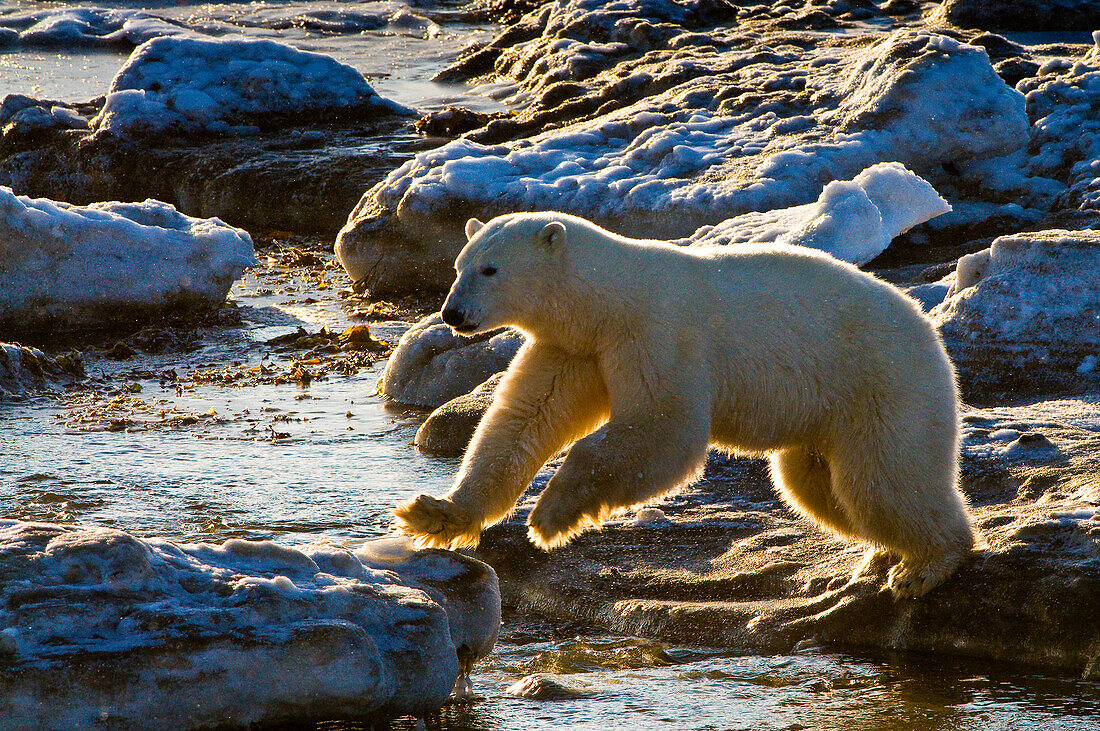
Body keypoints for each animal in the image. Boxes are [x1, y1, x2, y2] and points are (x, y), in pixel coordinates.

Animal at [393, 211, 972, 597]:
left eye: (490, 270)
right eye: (459, 265)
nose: (452, 314)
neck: (609, 298)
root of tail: (930, 333)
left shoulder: (656, 332)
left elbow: (663, 429)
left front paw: (551, 515)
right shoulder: (575, 348)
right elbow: (522, 420)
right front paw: (435, 514)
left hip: (882, 385)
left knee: (882, 479)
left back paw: (924, 565)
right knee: (815, 485)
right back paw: (880, 555)